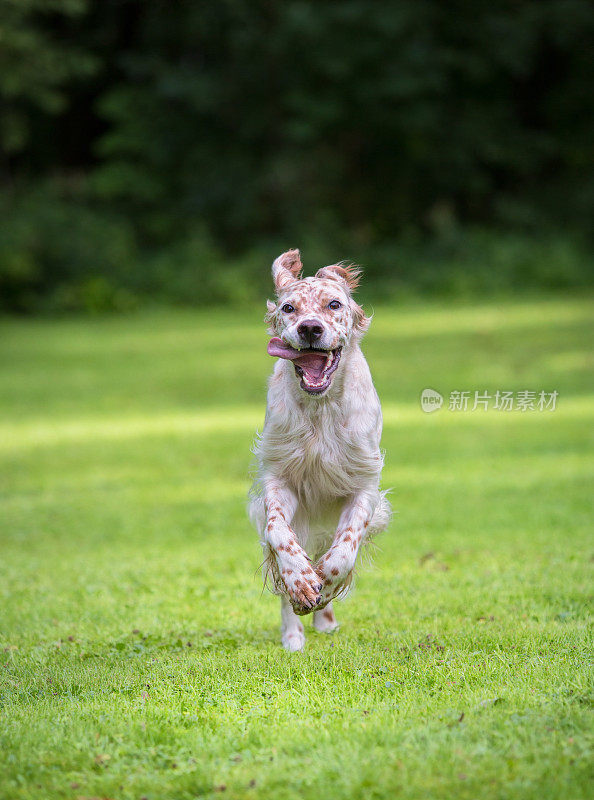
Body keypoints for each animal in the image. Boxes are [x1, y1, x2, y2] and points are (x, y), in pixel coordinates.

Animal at [246, 250, 388, 648]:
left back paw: (325, 619)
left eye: (334, 304)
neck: (319, 408)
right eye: (288, 307)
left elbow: (345, 548)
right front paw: (302, 582)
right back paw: (293, 636)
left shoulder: (363, 485)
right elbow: (279, 534)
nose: (310, 328)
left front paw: (324, 584)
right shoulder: (280, 479)